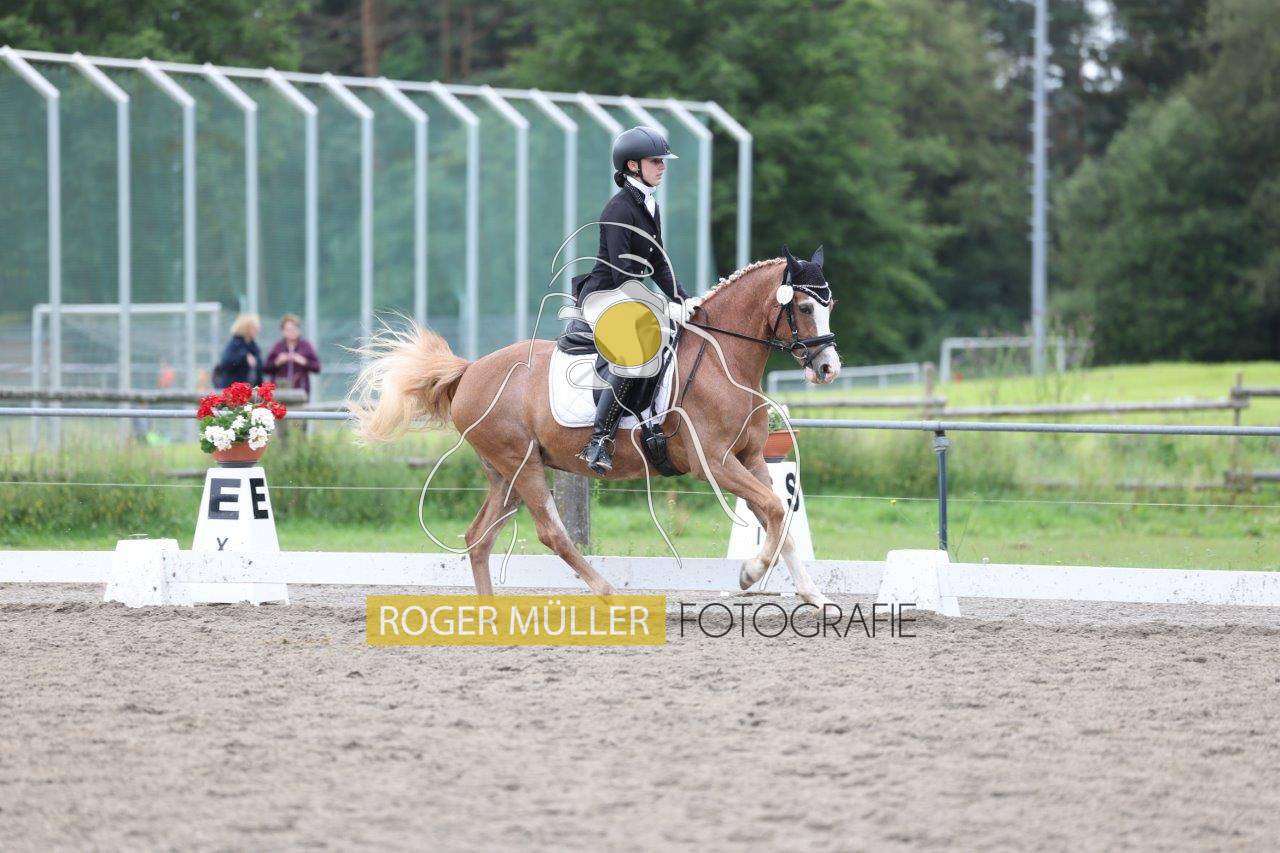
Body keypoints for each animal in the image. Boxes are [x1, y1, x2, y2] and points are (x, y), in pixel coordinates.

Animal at [348, 247, 843, 605]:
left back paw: (490, 615)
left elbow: (781, 519)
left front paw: (813, 596)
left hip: (505, 474)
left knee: (478, 538)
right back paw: (607, 592)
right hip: (522, 465)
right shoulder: (715, 465)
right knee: (551, 533)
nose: (828, 368)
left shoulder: (752, 458)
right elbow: (774, 510)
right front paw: (748, 573)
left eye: (830, 305)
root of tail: (469, 370)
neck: (725, 361)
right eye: (803, 307)